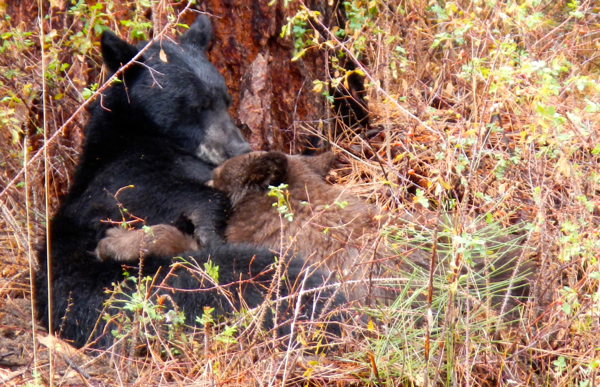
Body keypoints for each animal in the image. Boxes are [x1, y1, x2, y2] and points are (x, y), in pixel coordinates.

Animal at [35, 16, 338, 352]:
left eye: (225, 100)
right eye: (196, 106)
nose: (239, 147)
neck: (136, 132)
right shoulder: (123, 175)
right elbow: (151, 193)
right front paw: (210, 225)